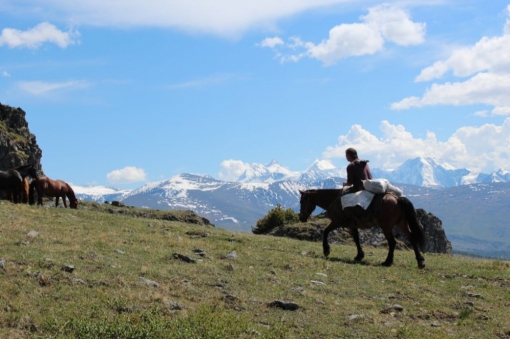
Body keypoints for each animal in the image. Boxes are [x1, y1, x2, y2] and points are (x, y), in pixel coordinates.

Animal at [298, 190, 426, 270]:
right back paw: (420, 261)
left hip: (386, 226)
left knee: (392, 242)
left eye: (302, 201)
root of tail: (397, 198)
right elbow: (356, 239)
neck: (334, 199)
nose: (301, 217)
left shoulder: (337, 221)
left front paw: (326, 250)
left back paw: (387, 262)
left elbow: (325, 231)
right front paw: (359, 255)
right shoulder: (352, 225)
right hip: (401, 223)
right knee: (412, 238)